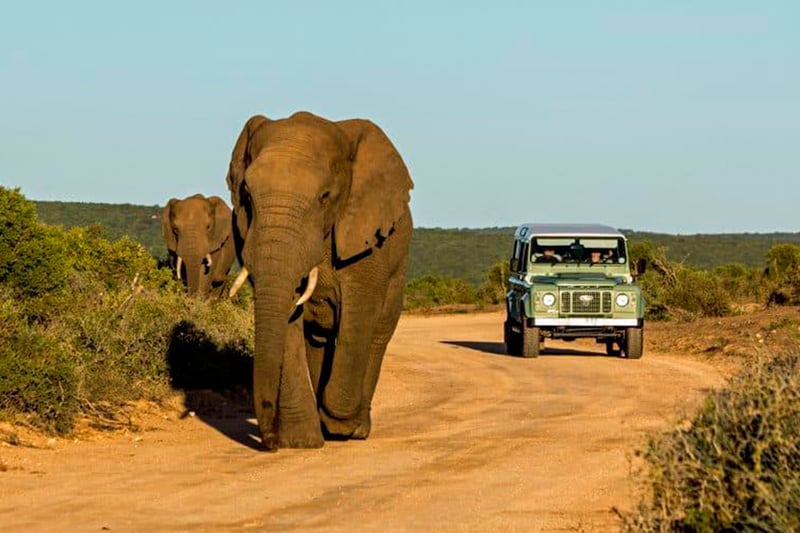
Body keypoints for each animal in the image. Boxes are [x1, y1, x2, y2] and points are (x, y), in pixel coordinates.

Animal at [225, 111, 413, 451]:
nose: (269, 441)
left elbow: (359, 313)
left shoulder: (366, 239)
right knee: (318, 338)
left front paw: (339, 424)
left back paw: (355, 429)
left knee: (377, 333)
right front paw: (301, 441)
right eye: (246, 194)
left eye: (324, 197)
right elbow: (289, 321)